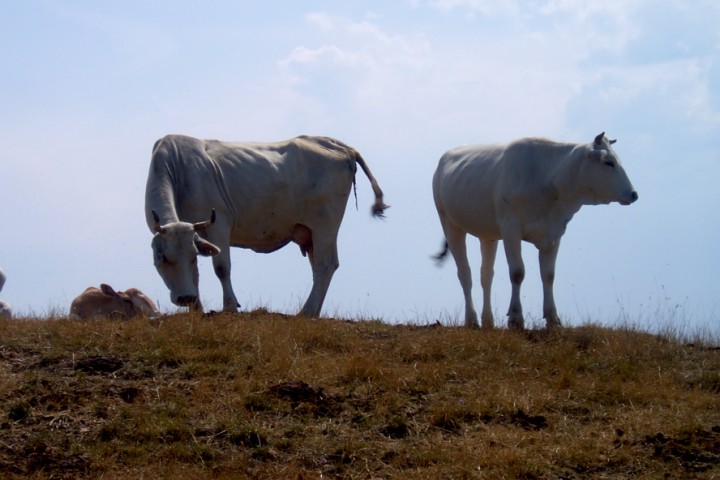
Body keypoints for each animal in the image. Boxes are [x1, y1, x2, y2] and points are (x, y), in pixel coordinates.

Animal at [146, 134, 388, 316]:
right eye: (164, 258)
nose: (185, 298)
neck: (179, 169)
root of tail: (341, 146)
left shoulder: (219, 224)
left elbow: (222, 267)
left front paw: (230, 306)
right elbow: (196, 272)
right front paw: (196, 310)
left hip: (325, 225)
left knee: (325, 264)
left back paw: (306, 311)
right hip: (311, 232)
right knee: (318, 267)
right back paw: (314, 310)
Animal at [430, 133, 640, 332]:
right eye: (608, 162)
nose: (634, 194)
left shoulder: (554, 232)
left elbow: (548, 275)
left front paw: (553, 319)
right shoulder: (511, 229)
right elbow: (517, 272)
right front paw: (516, 319)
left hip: (488, 235)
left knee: (486, 275)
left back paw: (488, 321)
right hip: (449, 223)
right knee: (465, 273)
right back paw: (471, 320)